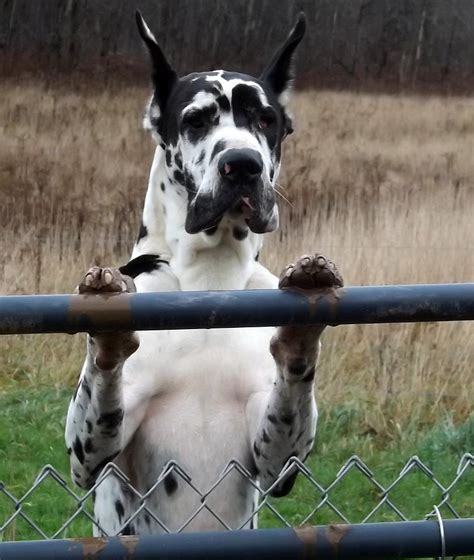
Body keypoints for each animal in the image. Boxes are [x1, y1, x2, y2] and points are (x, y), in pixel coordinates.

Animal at [65, 8, 342, 532]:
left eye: (266, 119)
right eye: (195, 120)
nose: (242, 163)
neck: (210, 281)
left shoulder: (278, 462)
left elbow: (293, 379)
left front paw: (301, 332)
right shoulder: (87, 454)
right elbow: (103, 381)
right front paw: (108, 333)